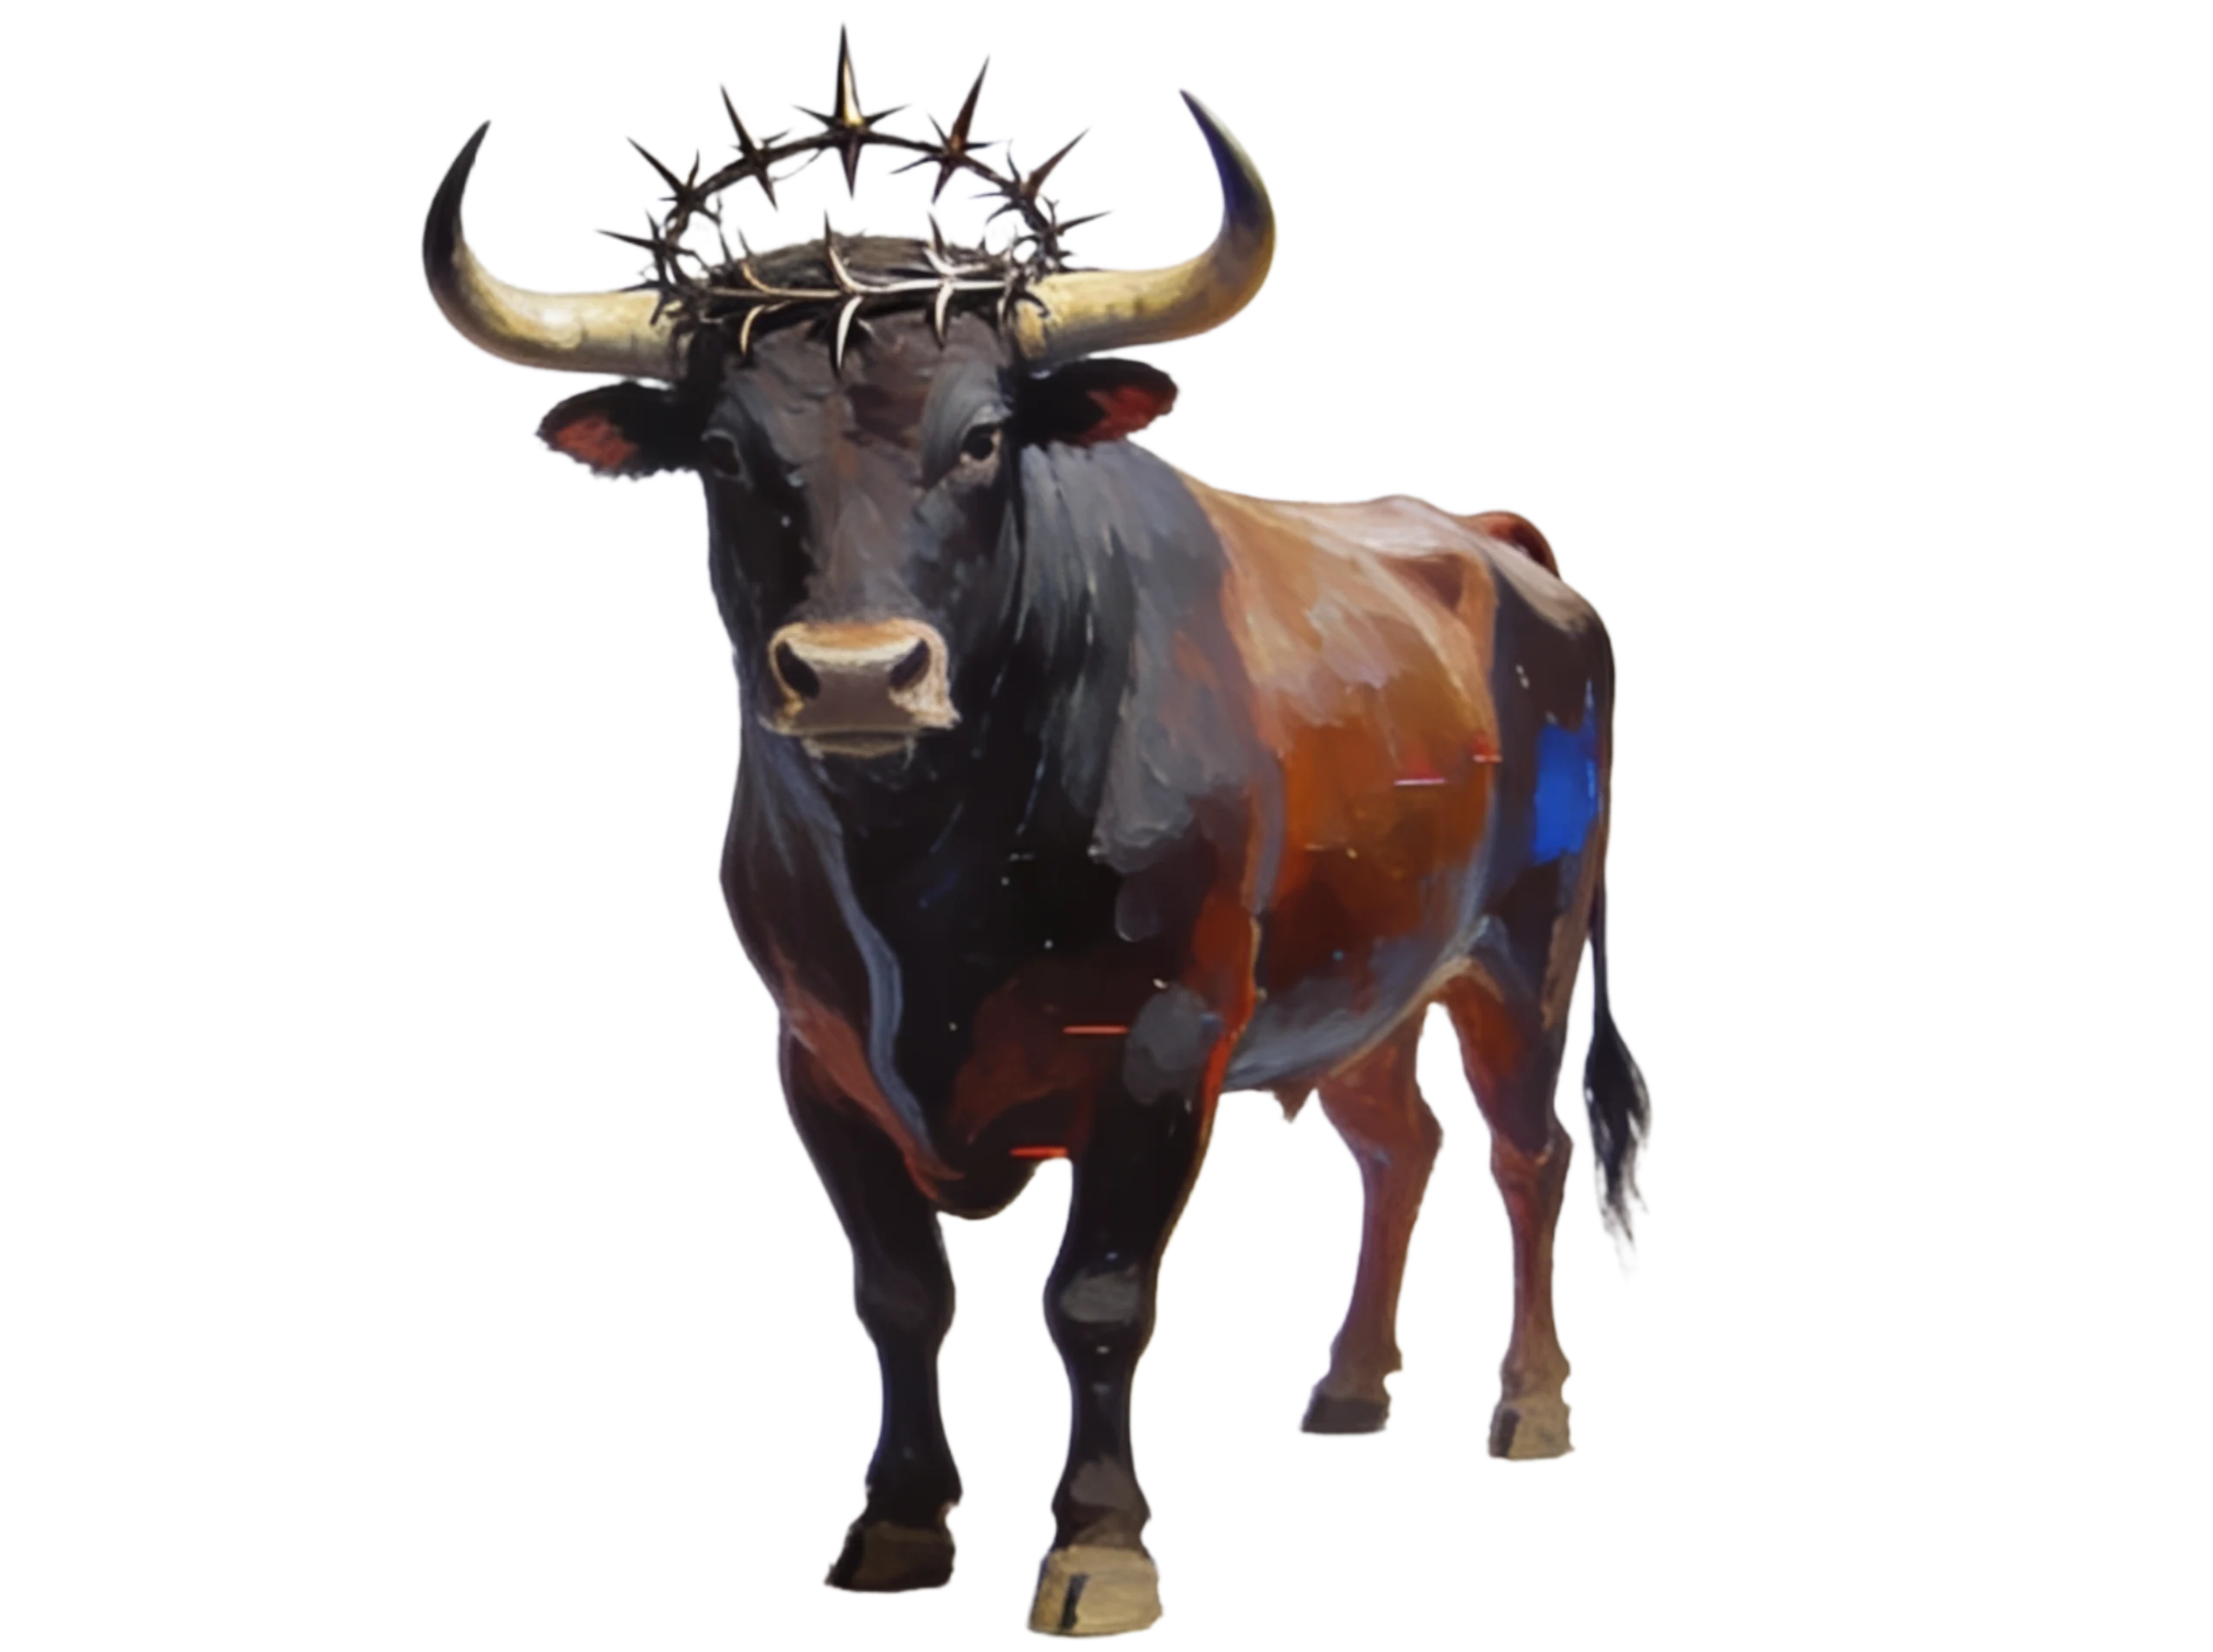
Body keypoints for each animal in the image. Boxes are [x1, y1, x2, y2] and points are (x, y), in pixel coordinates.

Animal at [421, 33, 1655, 1639]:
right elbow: (900, 1292)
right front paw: (896, 1523)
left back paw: (1531, 1406)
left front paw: (1102, 1545)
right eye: (732, 453)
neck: (927, 872)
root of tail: (1494, 540)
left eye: (986, 434)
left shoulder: (1167, 1038)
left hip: (1526, 949)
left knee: (1525, 1147)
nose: (859, 674)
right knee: (1402, 1141)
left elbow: (1099, 1294)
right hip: (1366, 975)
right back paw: (1346, 1390)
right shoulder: (814, 1053)